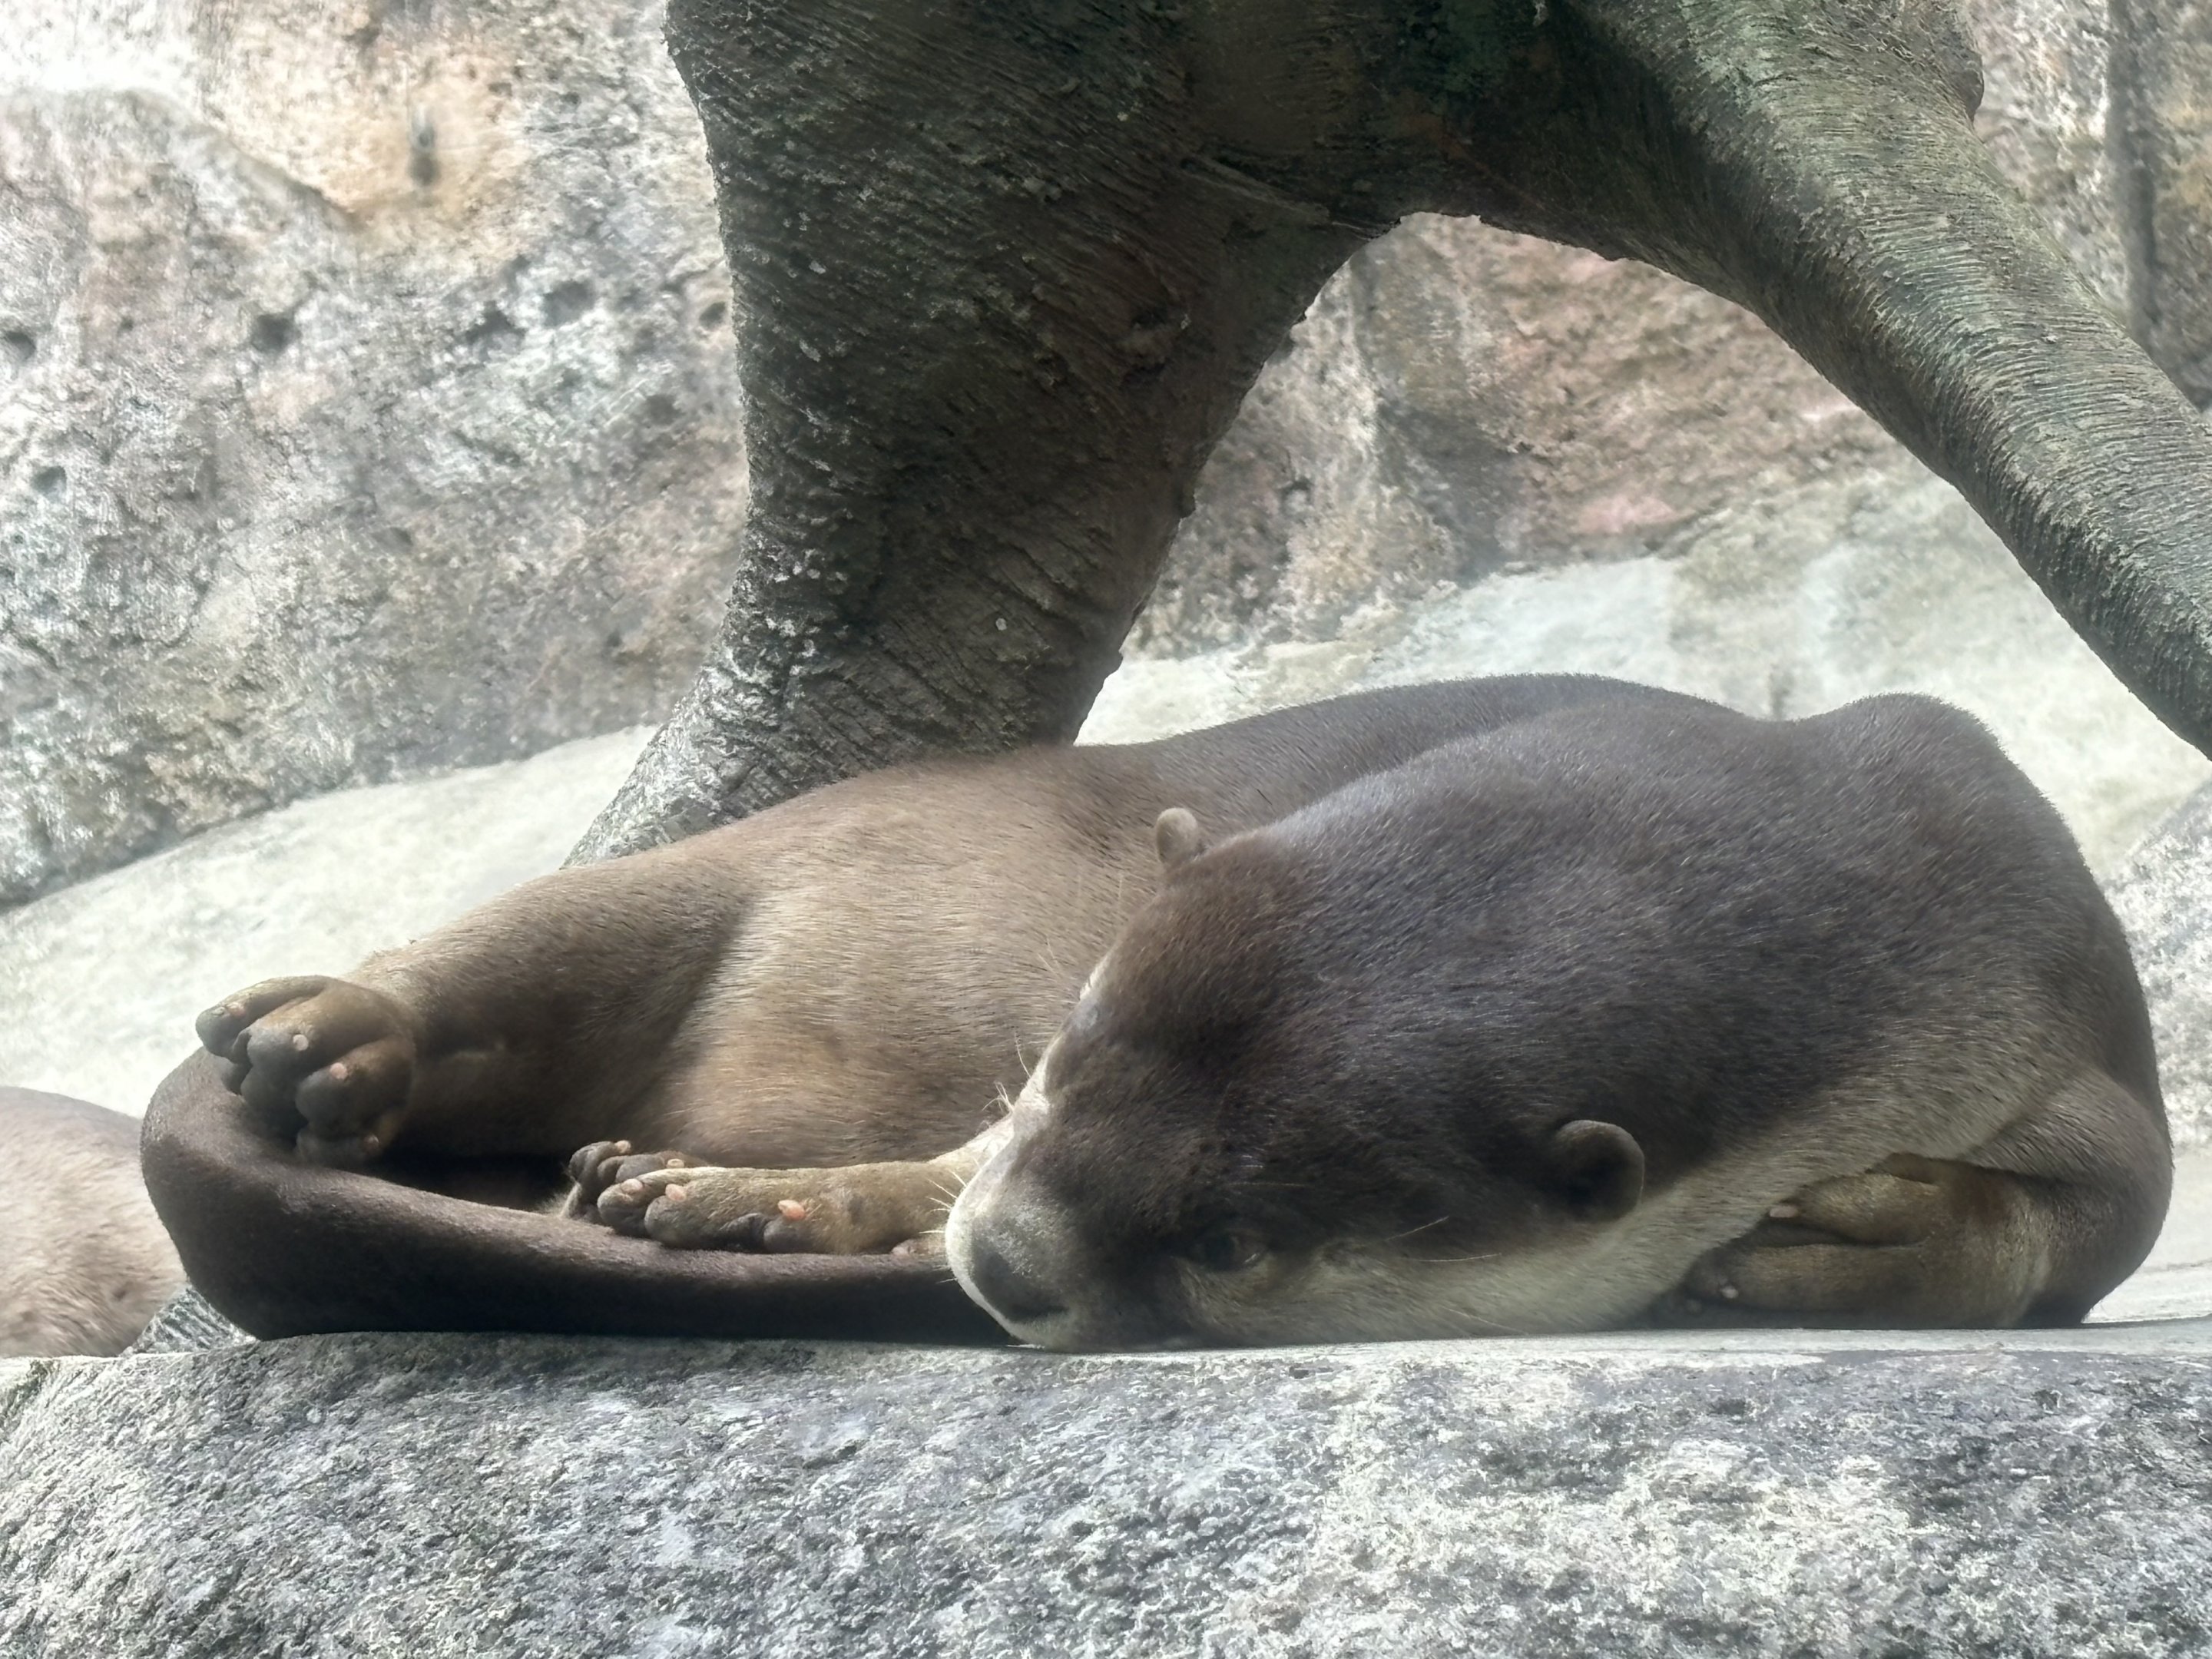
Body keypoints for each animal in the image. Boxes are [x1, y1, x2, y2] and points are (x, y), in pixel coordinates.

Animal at [147, 679, 2168, 1347]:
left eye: (1233, 1240)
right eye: (1057, 1055)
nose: (1010, 1264)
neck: (1880, 865)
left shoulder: (2053, 990)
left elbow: (2111, 1209)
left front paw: (1869, 1236)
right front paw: (784, 1205)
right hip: (785, 839)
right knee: (554, 931)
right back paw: (327, 1037)